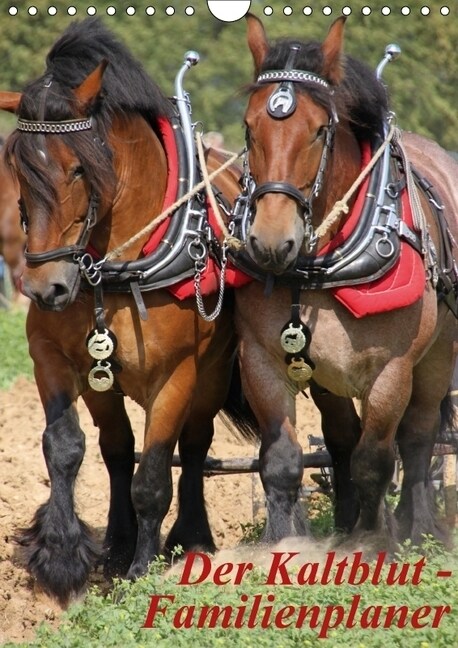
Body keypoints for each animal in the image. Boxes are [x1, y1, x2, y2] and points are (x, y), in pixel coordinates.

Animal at [0, 20, 243, 608]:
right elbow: (66, 447)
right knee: (115, 450)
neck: (114, 270)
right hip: (103, 382)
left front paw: (140, 572)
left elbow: (154, 473)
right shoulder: (53, 357)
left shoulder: (177, 375)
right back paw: (115, 542)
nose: (44, 288)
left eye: (79, 169)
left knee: (193, 447)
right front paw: (63, 557)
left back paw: (189, 540)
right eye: (18, 168)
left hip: (212, 373)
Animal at [233, 15, 458, 552]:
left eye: (319, 131)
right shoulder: (261, 359)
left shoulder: (392, 371)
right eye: (249, 127)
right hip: (327, 376)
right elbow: (283, 461)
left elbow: (375, 459)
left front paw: (374, 543)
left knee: (417, 437)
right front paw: (284, 545)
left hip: (438, 355)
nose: (271, 241)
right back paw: (346, 520)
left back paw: (418, 526)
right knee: (339, 438)